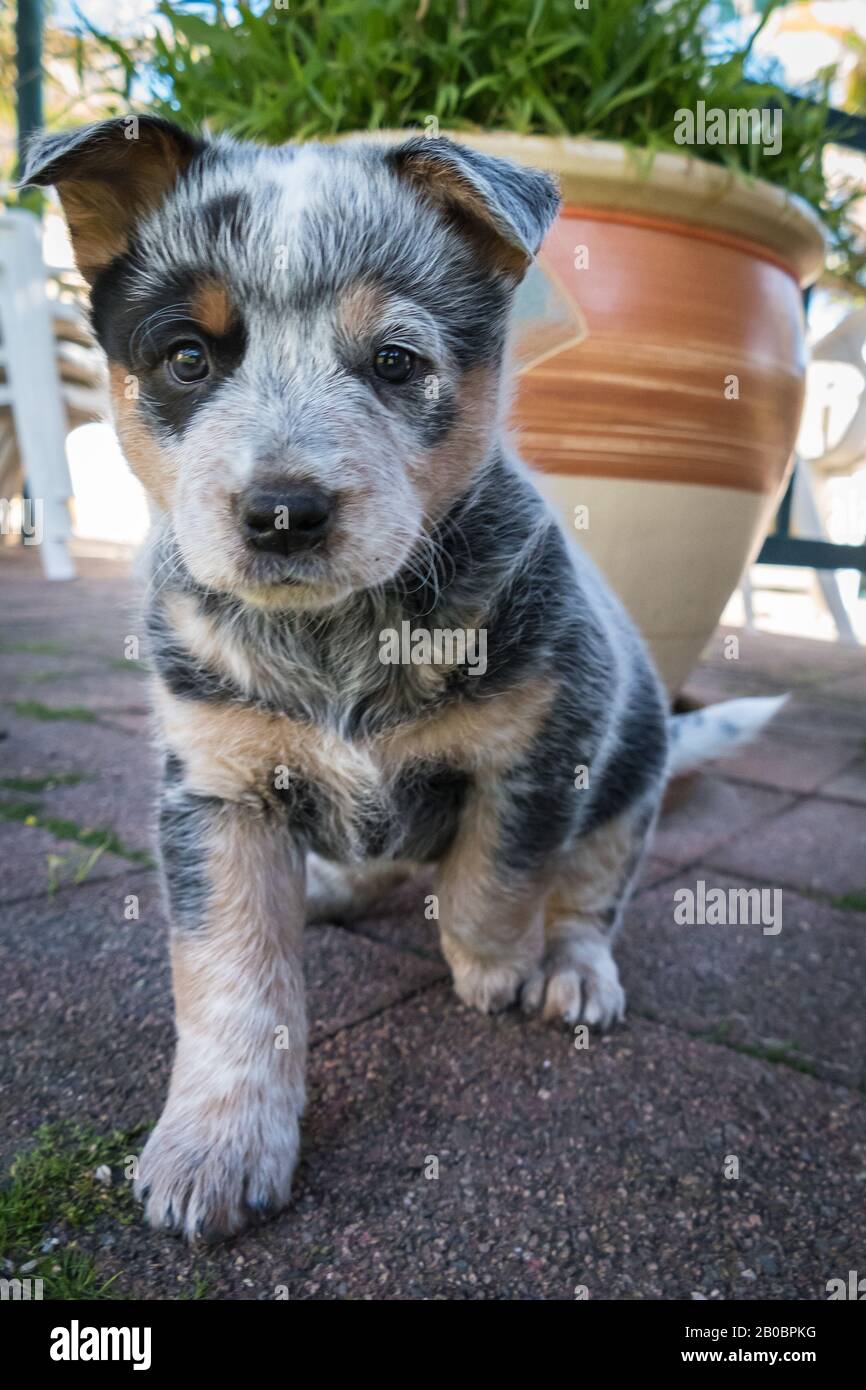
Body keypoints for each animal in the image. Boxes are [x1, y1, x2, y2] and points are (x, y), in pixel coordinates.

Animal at [22, 119, 783, 1245]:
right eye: (188, 356)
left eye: (394, 362)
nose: (283, 511)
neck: (337, 638)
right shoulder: (213, 790)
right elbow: (233, 980)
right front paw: (215, 1145)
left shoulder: (541, 748)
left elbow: (493, 880)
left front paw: (493, 970)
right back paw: (337, 886)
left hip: (632, 766)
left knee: (587, 895)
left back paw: (570, 973)